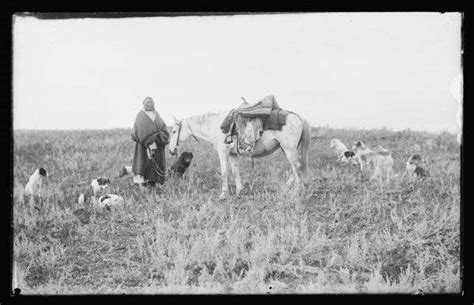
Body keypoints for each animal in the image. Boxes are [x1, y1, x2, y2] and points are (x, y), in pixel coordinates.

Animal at [168, 110, 312, 197]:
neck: (216, 126)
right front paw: (239, 191)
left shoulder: (223, 152)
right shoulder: (232, 154)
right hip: (286, 149)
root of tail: (299, 118)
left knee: (296, 167)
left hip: (289, 149)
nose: (171, 150)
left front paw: (223, 194)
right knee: (296, 167)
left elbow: (224, 173)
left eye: (174, 131)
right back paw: (285, 189)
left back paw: (295, 192)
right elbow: (235, 171)